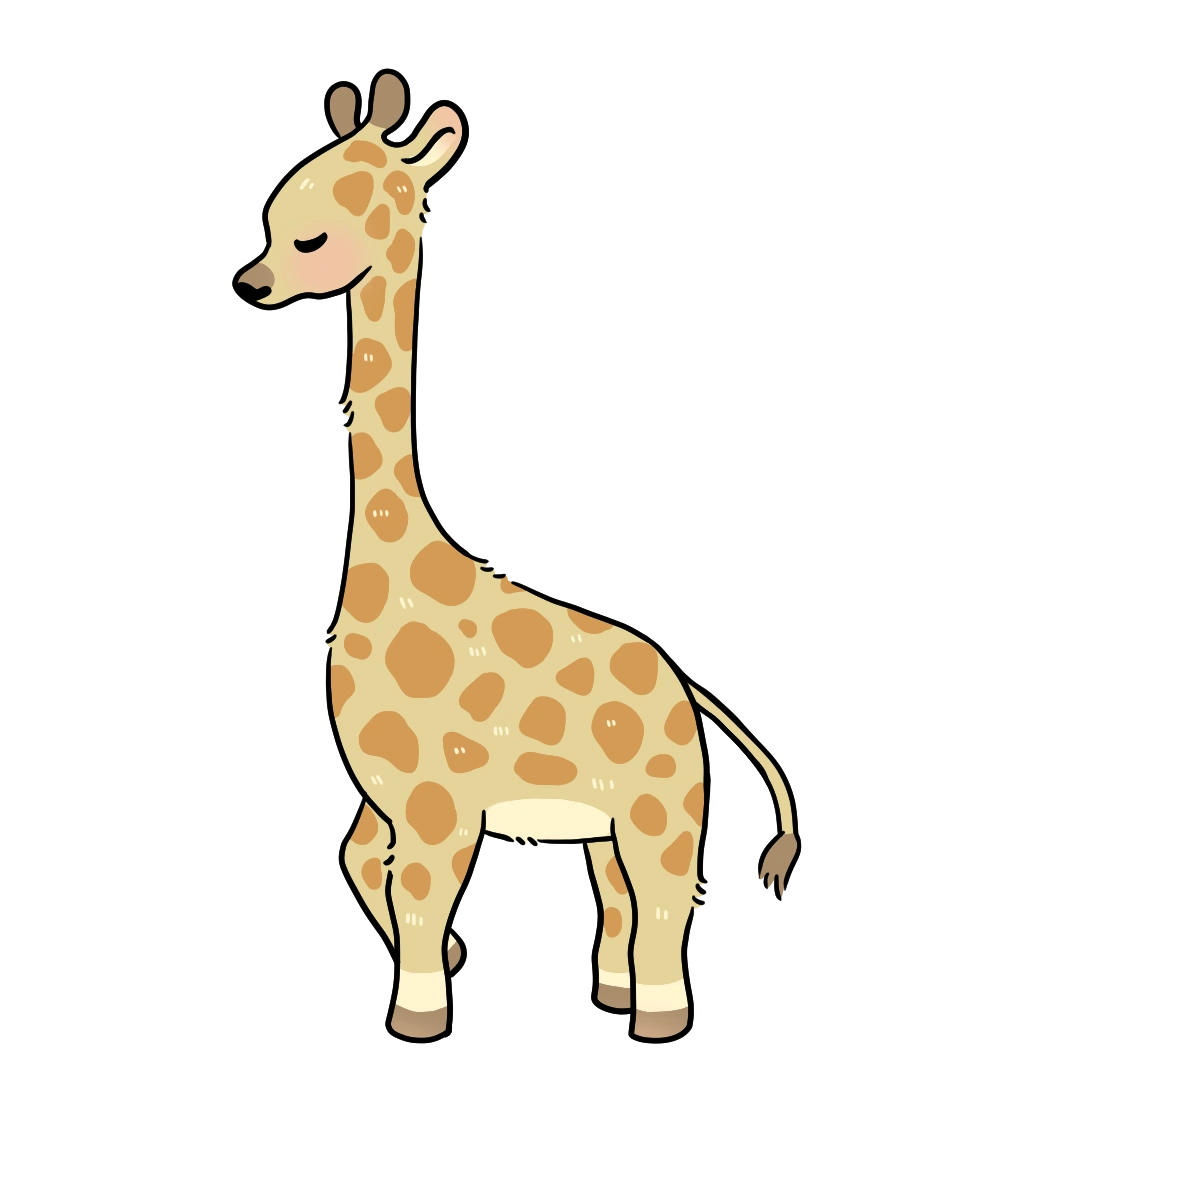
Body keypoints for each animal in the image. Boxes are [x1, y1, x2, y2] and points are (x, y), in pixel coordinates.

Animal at [238, 75, 798, 1038]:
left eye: (314, 233)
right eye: (275, 219)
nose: (256, 280)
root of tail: (688, 688)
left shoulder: (439, 800)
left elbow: (422, 900)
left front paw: (419, 1012)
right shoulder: (385, 790)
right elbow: (361, 864)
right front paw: (451, 958)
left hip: (662, 804)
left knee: (665, 904)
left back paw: (657, 1019)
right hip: (603, 822)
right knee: (618, 901)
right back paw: (611, 993)